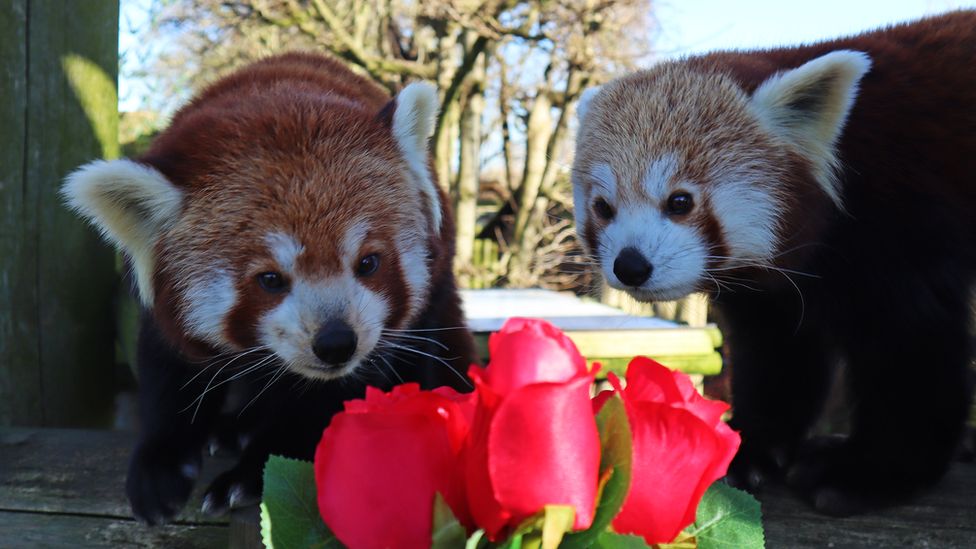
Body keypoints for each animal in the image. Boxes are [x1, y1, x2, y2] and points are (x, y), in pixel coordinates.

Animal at [61, 53, 476, 524]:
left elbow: (328, 401)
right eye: (271, 279)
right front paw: (159, 463)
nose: (336, 342)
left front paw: (250, 472)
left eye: (368, 263)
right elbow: (167, 368)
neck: (276, 91)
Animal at [572, 10, 976, 516]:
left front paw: (869, 472)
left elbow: (913, 351)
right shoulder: (775, 291)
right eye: (603, 208)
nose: (630, 265)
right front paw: (751, 447)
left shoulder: (903, 229)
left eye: (680, 201)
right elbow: (777, 357)